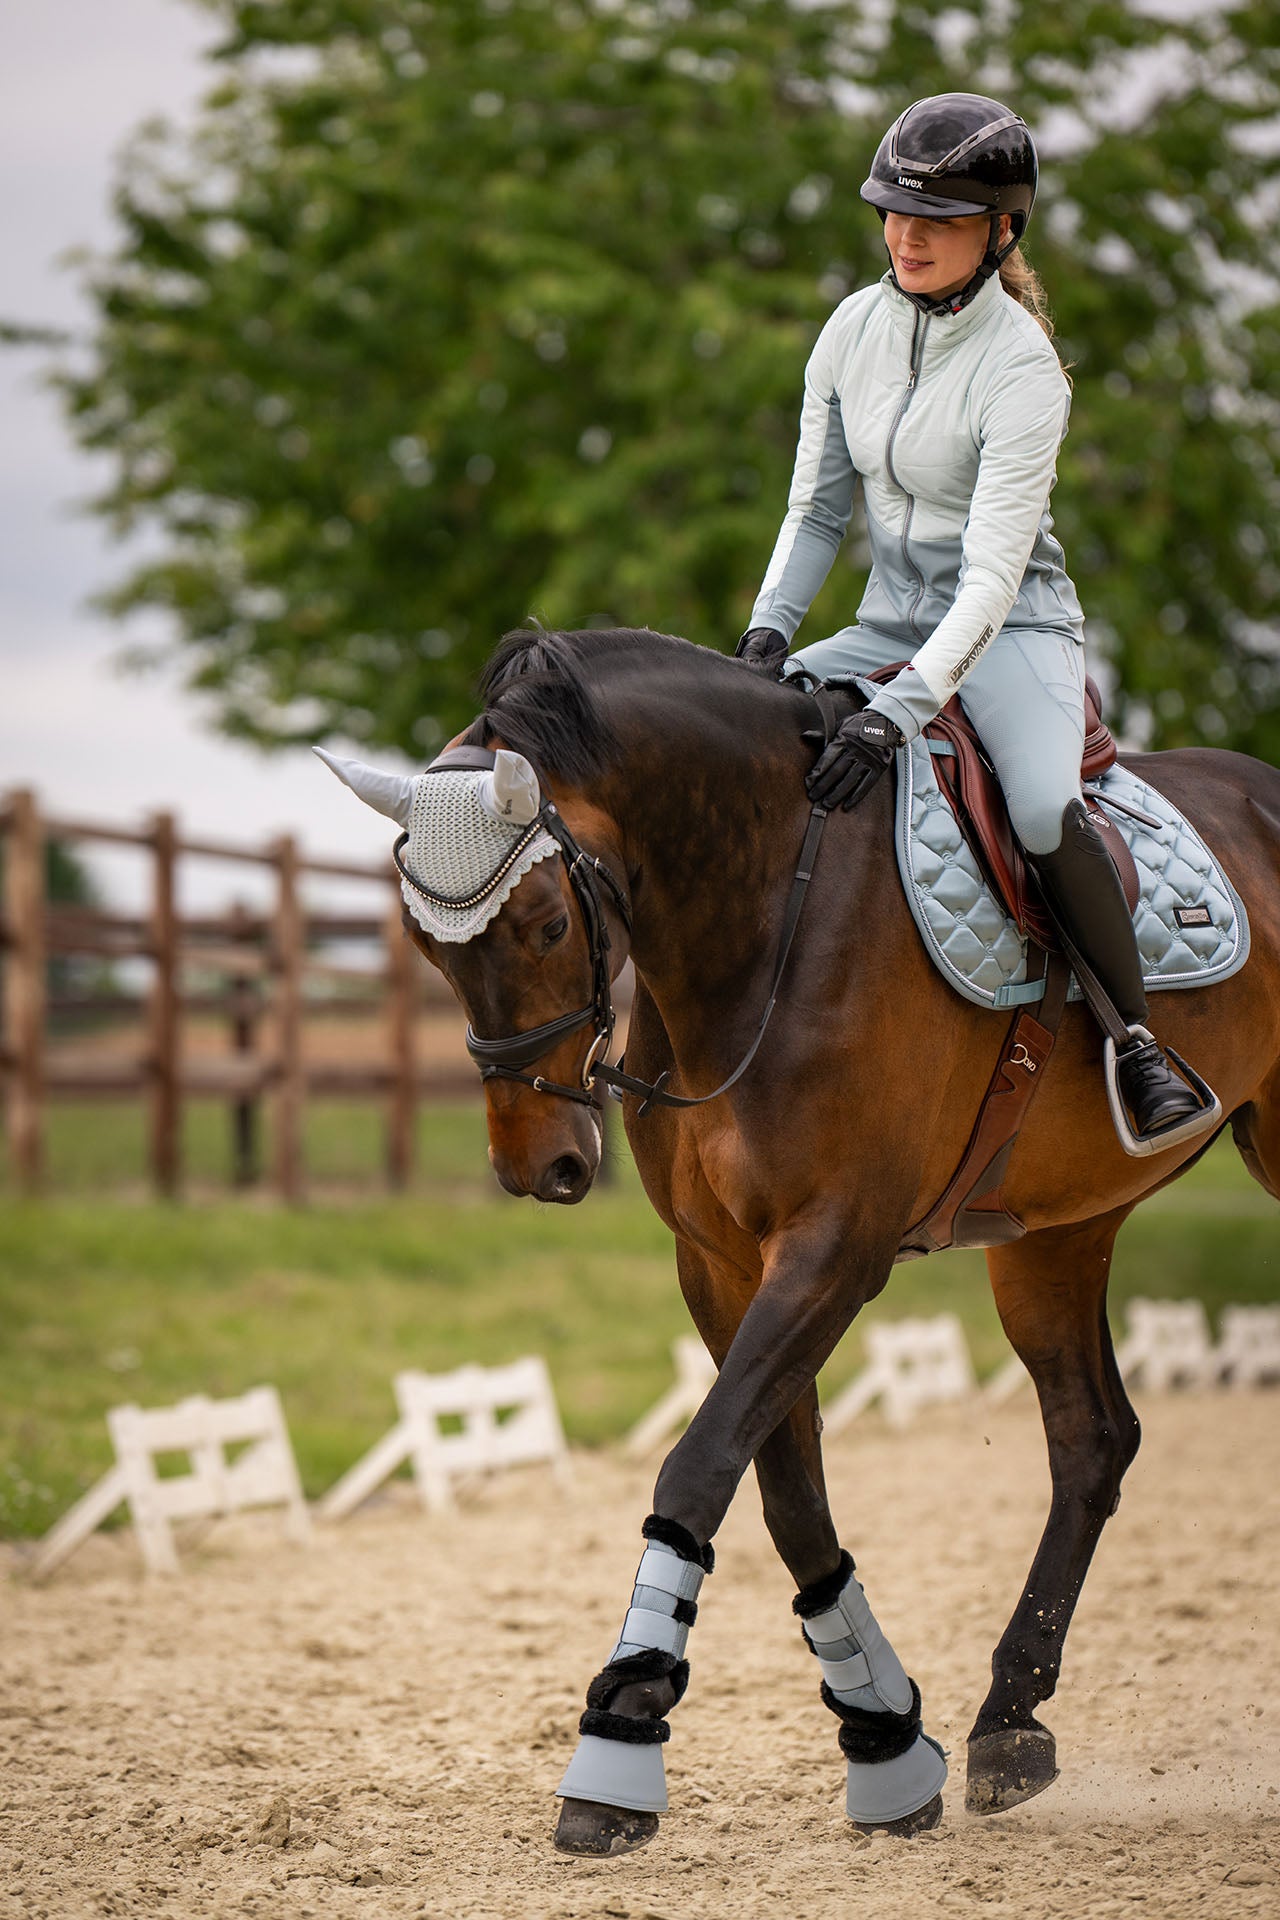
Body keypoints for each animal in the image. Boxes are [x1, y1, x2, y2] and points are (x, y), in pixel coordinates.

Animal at [319, 625, 1280, 1856]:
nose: (543, 1168)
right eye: (422, 946)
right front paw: (885, 1741)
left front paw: (617, 1743)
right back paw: (1008, 1721)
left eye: (545, 926)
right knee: (1090, 1441)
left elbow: (699, 1464)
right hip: (1053, 1234)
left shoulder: (835, 1248)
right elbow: (781, 1489)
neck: (768, 912)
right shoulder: (724, 1263)